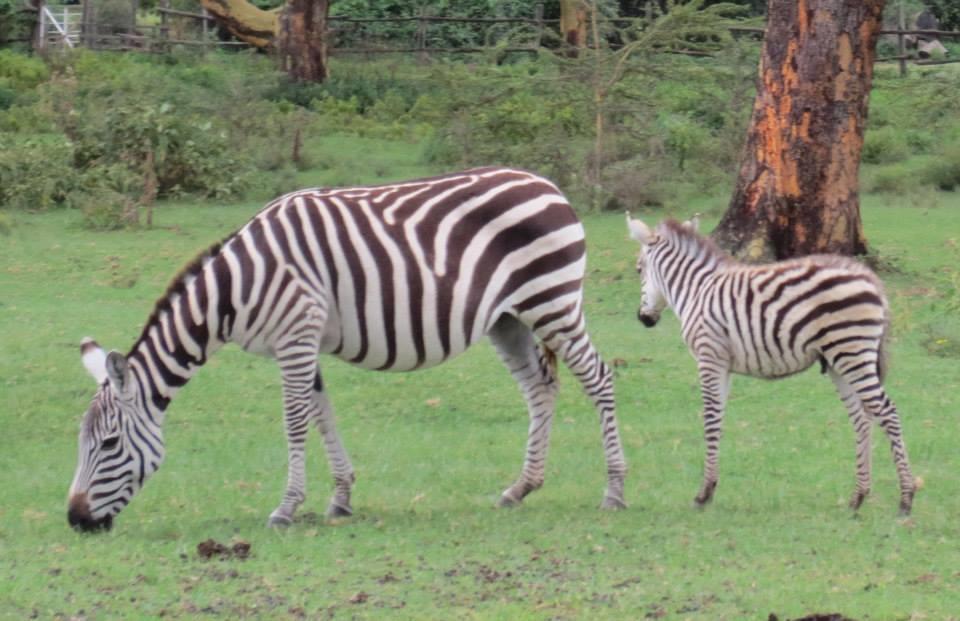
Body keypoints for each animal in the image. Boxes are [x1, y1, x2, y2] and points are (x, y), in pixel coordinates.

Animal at [67, 167, 632, 532]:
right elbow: (322, 414)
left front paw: (286, 508)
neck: (237, 287)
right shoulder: (303, 342)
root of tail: (548, 185)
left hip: (552, 301)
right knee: (540, 389)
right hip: (509, 318)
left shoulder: (295, 337)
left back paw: (615, 491)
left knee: (600, 378)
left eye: (109, 444)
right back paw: (521, 488)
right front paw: (340, 498)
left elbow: (296, 420)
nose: (75, 520)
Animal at [624, 216, 916, 516]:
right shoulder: (723, 364)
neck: (696, 290)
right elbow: (719, 417)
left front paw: (703, 494)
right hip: (840, 359)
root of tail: (869, 277)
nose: (644, 318)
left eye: (639, 269)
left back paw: (906, 499)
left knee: (888, 412)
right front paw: (711, 488)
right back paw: (858, 497)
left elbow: (709, 418)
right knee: (862, 417)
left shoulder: (709, 357)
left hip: (852, 351)